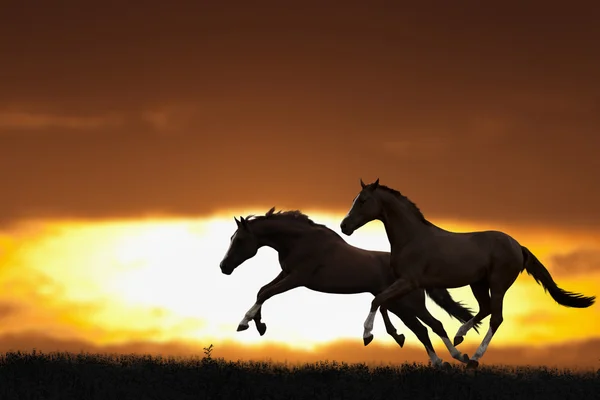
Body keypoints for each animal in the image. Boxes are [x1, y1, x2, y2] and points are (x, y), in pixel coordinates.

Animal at [218, 208, 480, 368]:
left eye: (239, 240)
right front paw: (258, 324)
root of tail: (416, 270)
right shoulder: (287, 274)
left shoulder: (297, 278)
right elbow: (262, 290)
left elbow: (266, 292)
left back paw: (457, 357)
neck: (300, 241)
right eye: (231, 238)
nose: (224, 267)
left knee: (434, 325)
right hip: (399, 307)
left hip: (409, 305)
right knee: (421, 330)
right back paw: (438, 361)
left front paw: (246, 323)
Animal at [338, 178, 596, 368]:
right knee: (485, 309)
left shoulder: (409, 282)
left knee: (496, 317)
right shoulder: (406, 284)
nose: (344, 226)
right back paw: (460, 336)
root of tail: (517, 246)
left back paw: (473, 359)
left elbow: (378, 300)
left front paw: (367, 336)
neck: (412, 238)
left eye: (363, 200)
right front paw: (395, 335)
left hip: (498, 284)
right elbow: (382, 302)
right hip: (478, 283)